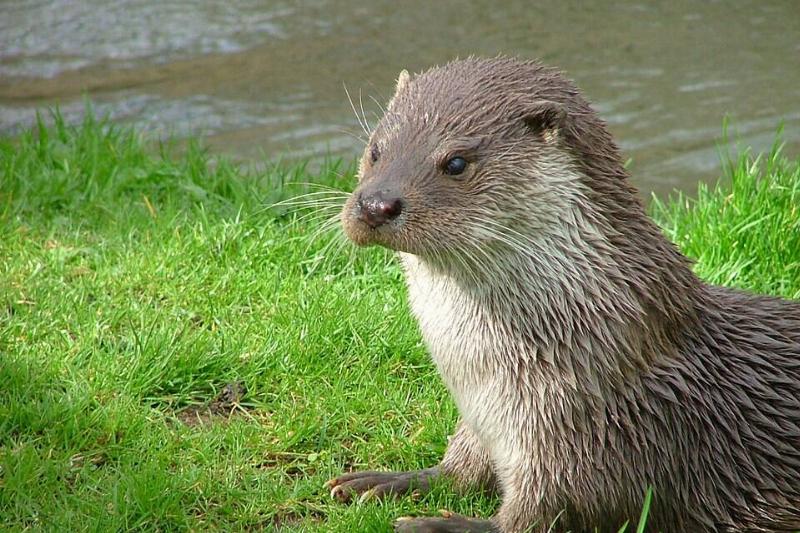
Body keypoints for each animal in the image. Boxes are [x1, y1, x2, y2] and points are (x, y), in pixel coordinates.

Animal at [326, 57, 800, 532]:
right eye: (375, 150)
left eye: (456, 162)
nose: (376, 204)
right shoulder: (485, 424)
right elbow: (459, 471)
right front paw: (386, 481)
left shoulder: (592, 440)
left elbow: (544, 515)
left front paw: (436, 524)